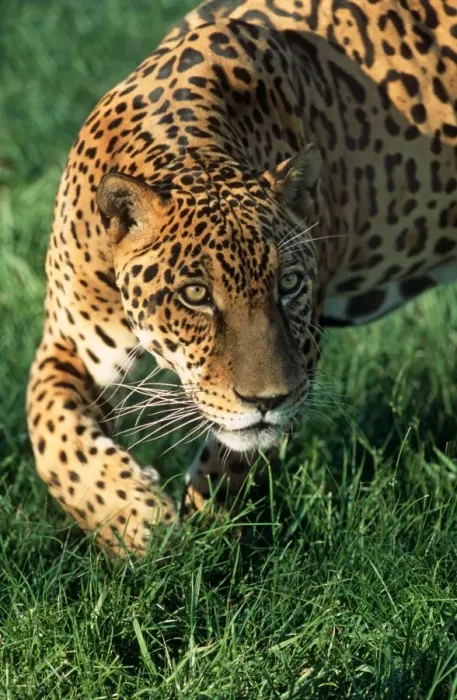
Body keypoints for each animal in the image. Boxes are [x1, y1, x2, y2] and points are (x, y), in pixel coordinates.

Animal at [27, 0, 457, 556]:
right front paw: (137, 525)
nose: (266, 401)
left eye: (288, 285)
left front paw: (205, 539)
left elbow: (234, 458)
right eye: (195, 295)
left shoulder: (305, 349)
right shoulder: (71, 340)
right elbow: (54, 438)